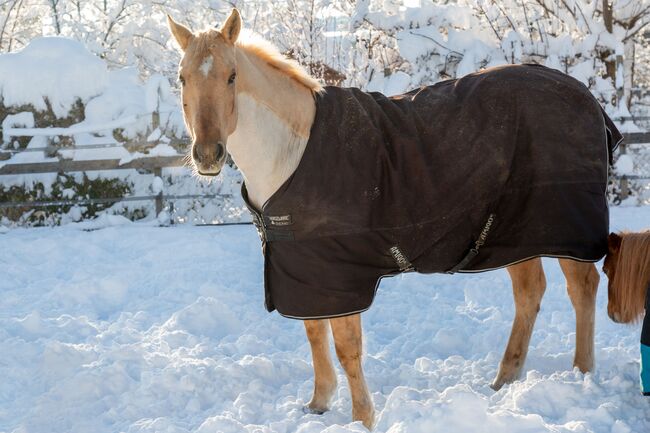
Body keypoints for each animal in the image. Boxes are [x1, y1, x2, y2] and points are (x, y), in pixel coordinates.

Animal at [168, 10, 616, 428]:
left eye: (231, 76)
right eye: (182, 78)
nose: (207, 155)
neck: (292, 152)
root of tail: (584, 95)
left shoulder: (340, 274)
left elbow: (346, 347)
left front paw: (362, 418)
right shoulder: (306, 270)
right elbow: (314, 333)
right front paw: (318, 404)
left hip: (561, 224)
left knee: (582, 288)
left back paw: (581, 374)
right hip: (516, 234)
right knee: (529, 293)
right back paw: (505, 379)